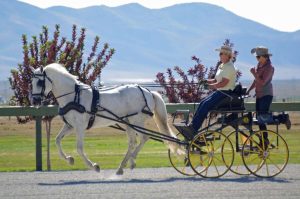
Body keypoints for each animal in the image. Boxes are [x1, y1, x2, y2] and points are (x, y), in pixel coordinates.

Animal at [30, 63, 182, 174]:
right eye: (31, 82)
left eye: (39, 83)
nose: (35, 101)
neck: (74, 96)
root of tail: (148, 91)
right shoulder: (70, 125)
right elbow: (57, 140)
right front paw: (69, 159)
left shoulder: (80, 126)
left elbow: (79, 148)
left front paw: (94, 166)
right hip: (127, 122)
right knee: (133, 142)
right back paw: (123, 166)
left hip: (136, 121)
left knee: (144, 138)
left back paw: (131, 160)